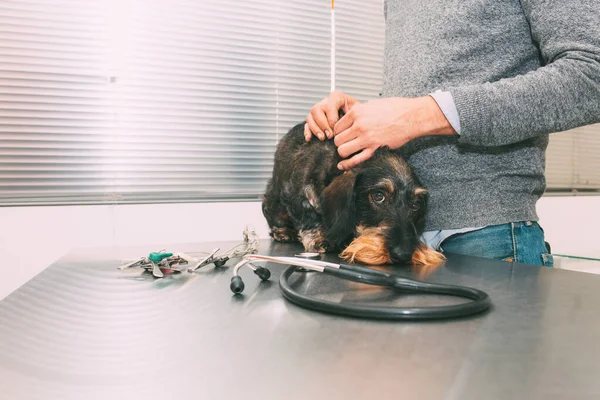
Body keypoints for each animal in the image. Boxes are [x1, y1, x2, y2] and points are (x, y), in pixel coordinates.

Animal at [262, 120, 446, 268]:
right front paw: (319, 238)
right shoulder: (298, 194)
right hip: (272, 204)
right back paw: (284, 232)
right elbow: (308, 219)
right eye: (378, 196)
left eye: (415, 204)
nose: (403, 255)